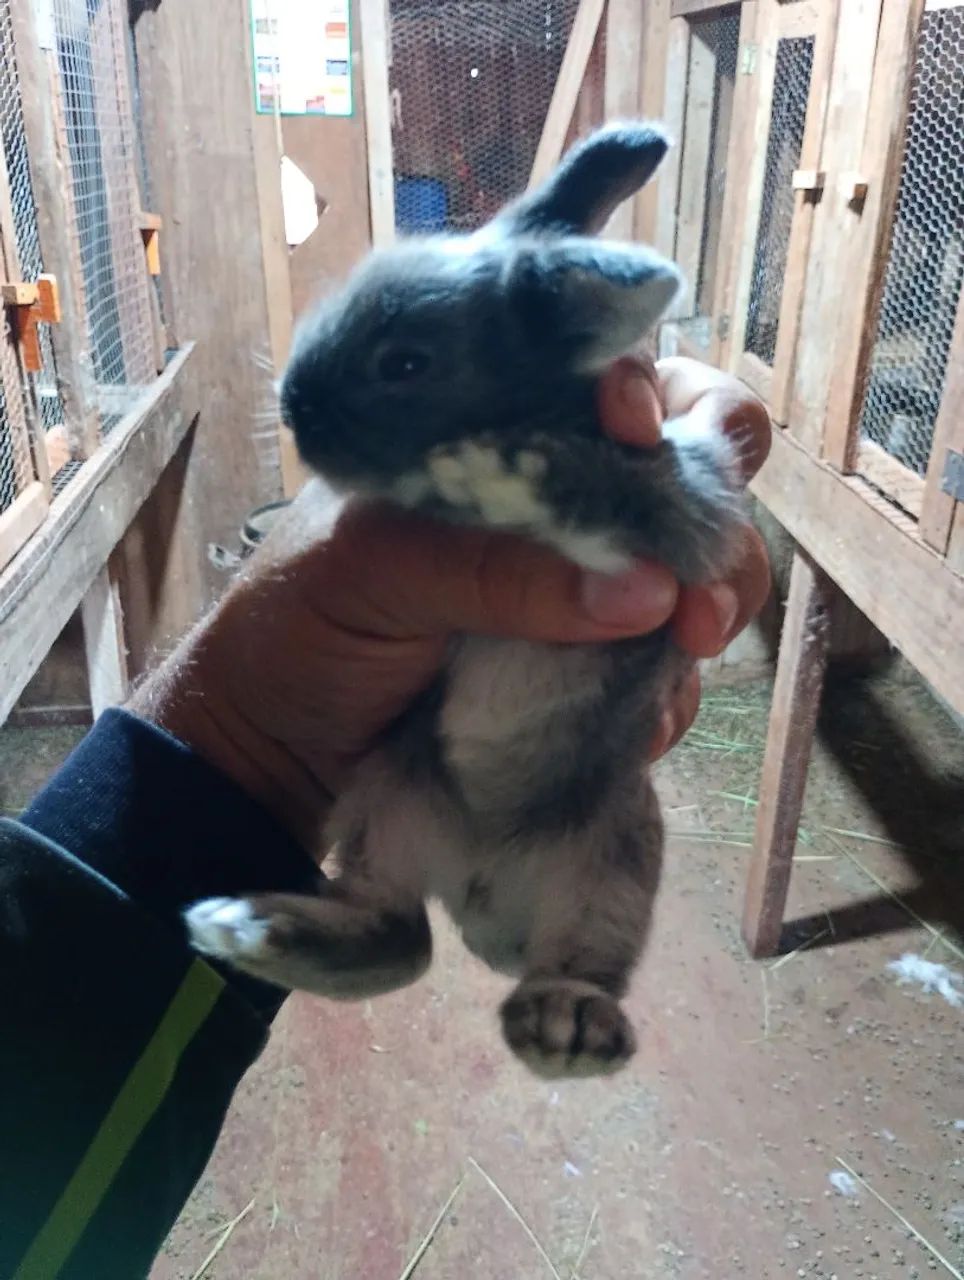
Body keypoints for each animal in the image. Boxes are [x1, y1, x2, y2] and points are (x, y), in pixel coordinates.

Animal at [185, 122, 746, 1079]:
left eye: (406, 361)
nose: (295, 410)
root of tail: (480, 890)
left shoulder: (679, 531)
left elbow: (608, 502)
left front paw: (495, 469)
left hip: (618, 850)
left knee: (566, 966)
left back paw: (565, 1026)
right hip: (386, 801)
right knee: (399, 937)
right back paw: (250, 927)